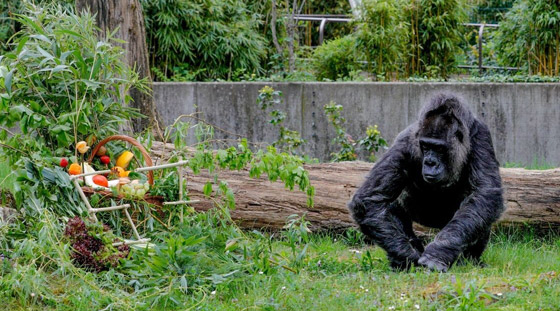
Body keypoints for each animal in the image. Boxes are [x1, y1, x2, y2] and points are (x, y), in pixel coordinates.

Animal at [350, 93, 504, 272]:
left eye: (439, 148)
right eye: (425, 146)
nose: (430, 162)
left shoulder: (481, 135)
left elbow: (484, 193)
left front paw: (438, 253)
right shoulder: (406, 141)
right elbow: (370, 200)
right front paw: (407, 256)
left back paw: (470, 260)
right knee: (390, 206)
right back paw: (399, 261)